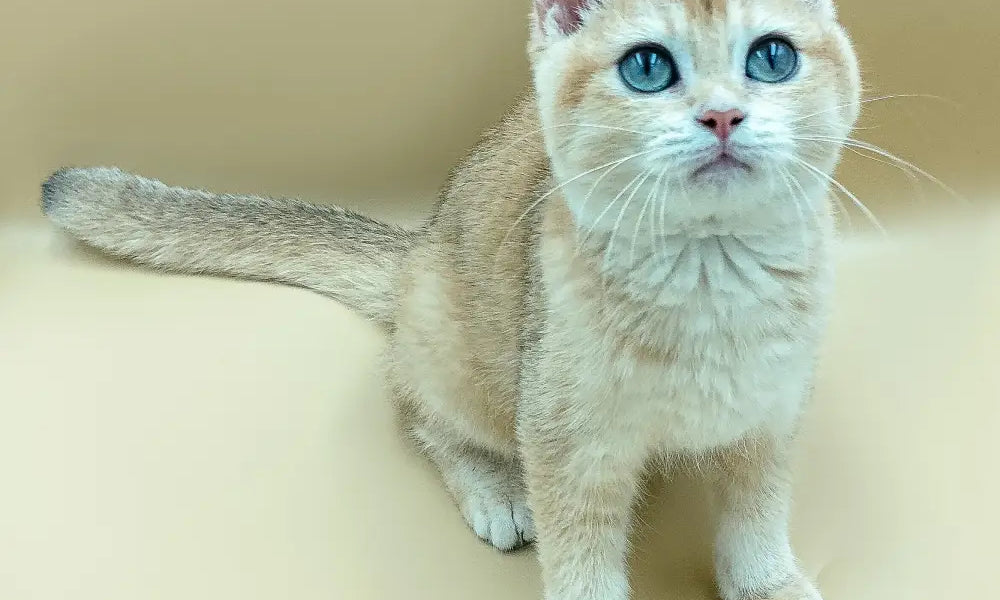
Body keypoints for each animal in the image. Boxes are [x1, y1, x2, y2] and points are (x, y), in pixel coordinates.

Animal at [41, 1, 860, 600]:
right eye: (648, 66)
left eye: (773, 57)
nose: (722, 116)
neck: (712, 280)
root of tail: (418, 249)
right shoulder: (568, 444)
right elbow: (581, 558)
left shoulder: (771, 415)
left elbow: (757, 519)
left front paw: (772, 584)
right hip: (465, 363)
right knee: (422, 415)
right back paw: (494, 492)